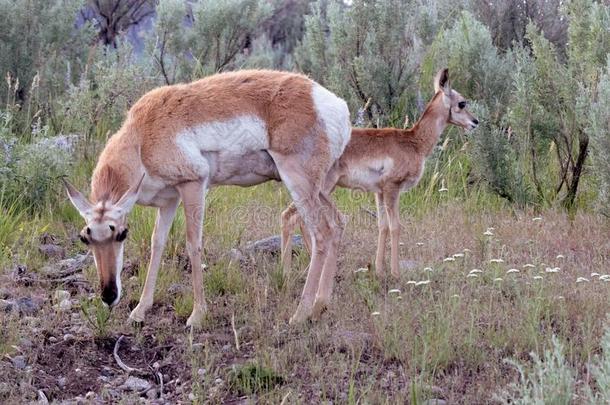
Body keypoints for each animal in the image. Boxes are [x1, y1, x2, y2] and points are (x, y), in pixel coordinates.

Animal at [64, 69, 350, 326]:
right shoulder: (169, 201)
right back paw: (320, 305)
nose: (109, 295)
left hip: (299, 183)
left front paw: (197, 315)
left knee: (322, 232)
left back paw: (300, 315)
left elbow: (193, 245)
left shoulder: (194, 185)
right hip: (318, 188)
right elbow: (158, 244)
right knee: (337, 223)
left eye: (121, 234)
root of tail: (335, 105)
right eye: (85, 238)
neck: (141, 136)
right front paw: (139, 311)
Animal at [280, 69, 476, 278]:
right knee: (294, 219)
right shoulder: (392, 189)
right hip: (322, 188)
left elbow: (382, 226)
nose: (475, 122)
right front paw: (396, 273)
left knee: (292, 218)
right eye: (462, 103)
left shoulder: (379, 193)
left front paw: (380, 270)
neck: (413, 141)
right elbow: (396, 227)